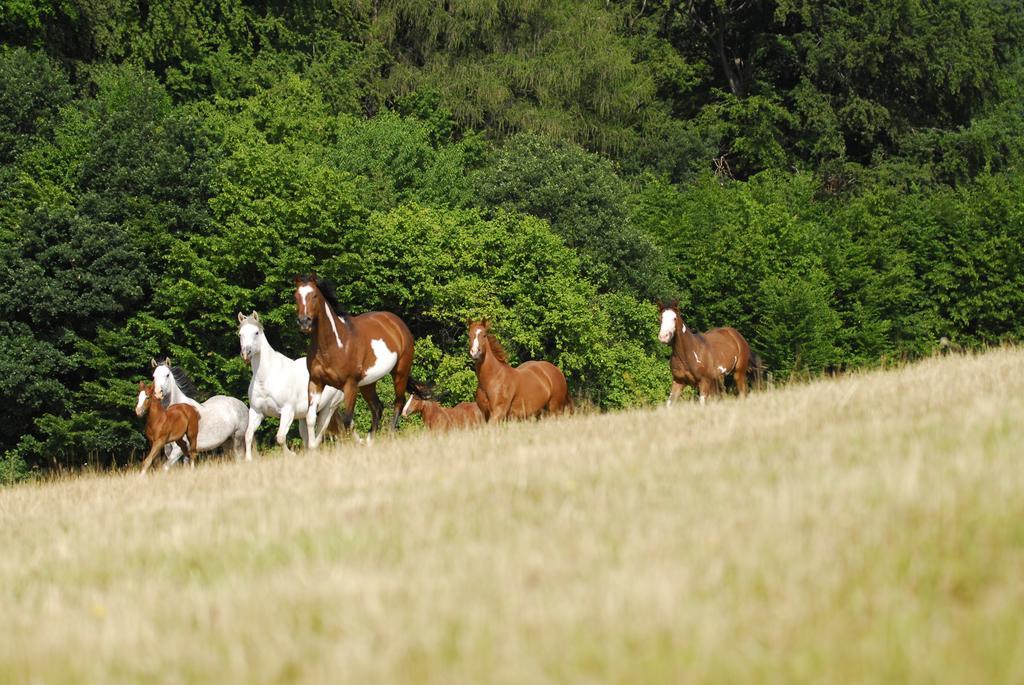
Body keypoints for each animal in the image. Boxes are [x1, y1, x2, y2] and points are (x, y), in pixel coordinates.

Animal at [236, 311, 346, 458]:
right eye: (240, 334)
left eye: (256, 332)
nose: (246, 354)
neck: (267, 378)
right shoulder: (256, 412)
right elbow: (248, 435)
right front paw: (248, 460)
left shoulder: (287, 411)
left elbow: (280, 437)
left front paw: (291, 455)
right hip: (304, 415)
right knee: (307, 436)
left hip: (328, 408)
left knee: (318, 433)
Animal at [294, 272, 413, 444]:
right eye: (296, 296)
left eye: (314, 295)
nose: (304, 322)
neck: (333, 346)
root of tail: (397, 322)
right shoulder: (316, 382)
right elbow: (311, 418)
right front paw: (312, 447)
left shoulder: (349, 385)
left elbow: (347, 421)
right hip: (368, 383)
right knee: (377, 408)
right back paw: (370, 442)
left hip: (400, 372)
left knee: (398, 402)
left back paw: (389, 436)